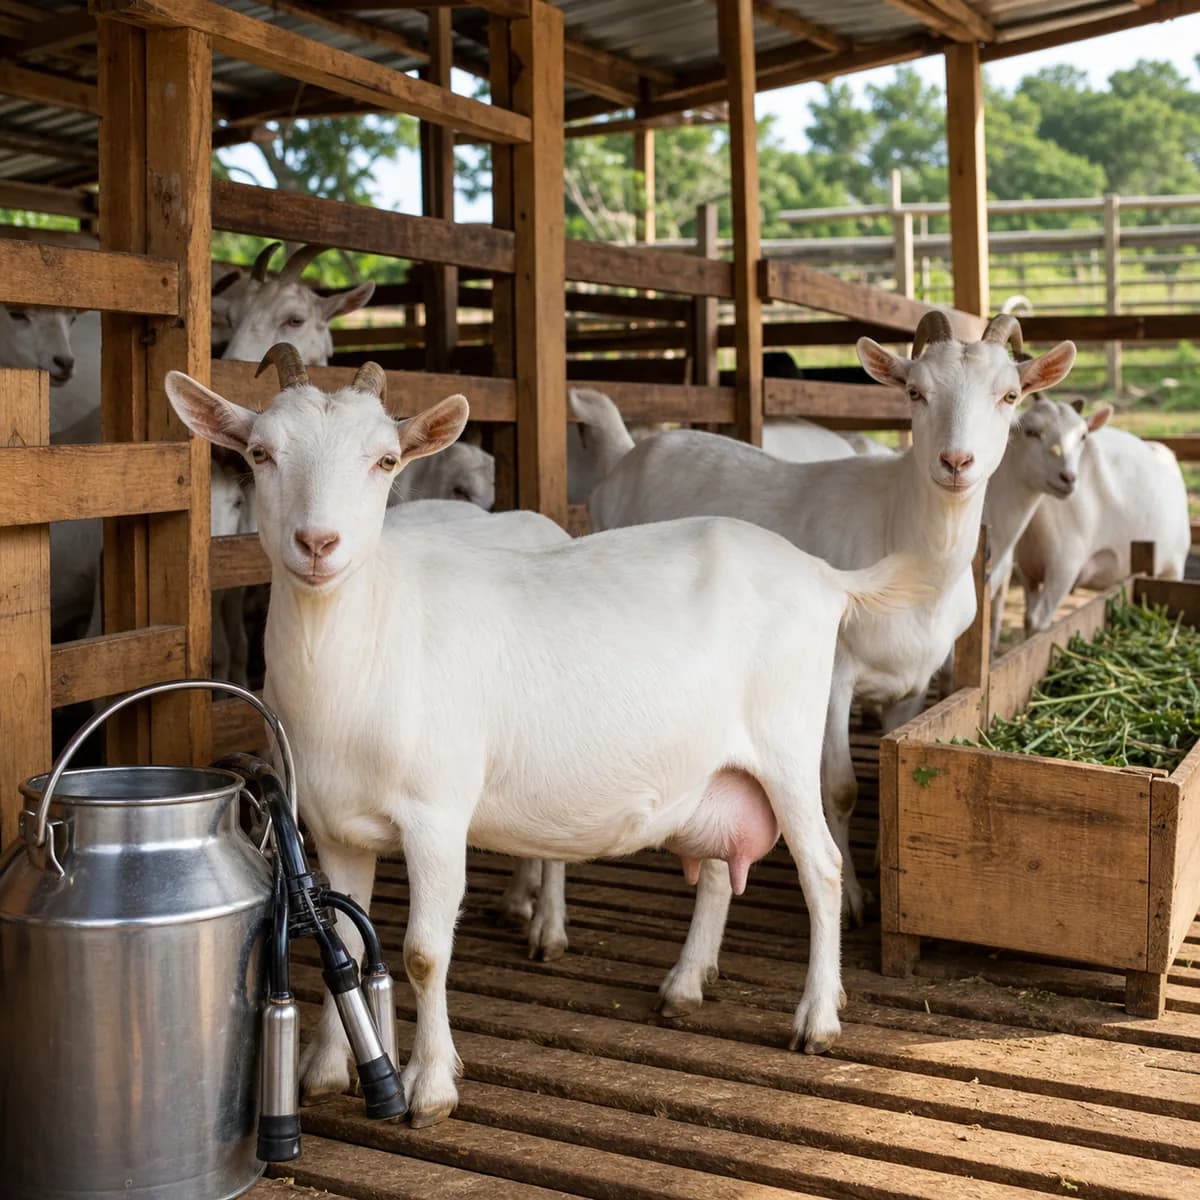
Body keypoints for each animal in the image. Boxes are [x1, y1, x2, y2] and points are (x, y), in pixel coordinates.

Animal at [166, 343, 926, 1127]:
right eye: (261, 453)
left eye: (385, 460)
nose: (318, 543)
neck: (367, 642)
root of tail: (823, 575)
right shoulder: (332, 824)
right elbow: (342, 937)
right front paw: (322, 1072)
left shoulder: (437, 813)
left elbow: (424, 952)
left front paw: (430, 1087)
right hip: (714, 768)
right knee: (721, 867)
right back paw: (684, 985)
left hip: (787, 744)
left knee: (821, 868)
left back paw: (818, 1018)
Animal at [587, 313, 1076, 947]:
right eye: (914, 392)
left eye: (1010, 396)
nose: (956, 462)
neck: (903, 542)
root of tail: (629, 452)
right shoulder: (835, 677)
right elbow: (840, 787)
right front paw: (856, 903)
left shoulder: (913, 682)